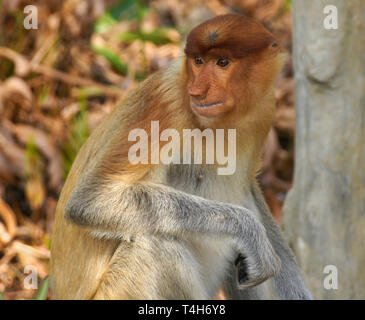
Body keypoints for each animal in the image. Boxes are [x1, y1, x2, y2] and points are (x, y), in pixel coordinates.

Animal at [50, 13, 310, 300]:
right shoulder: (166, 103)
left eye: (222, 62)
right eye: (198, 61)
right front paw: (249, 231)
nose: (197, 91)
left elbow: (248, 189)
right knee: (156, 244)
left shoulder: (264, 109)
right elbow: (91, 200)